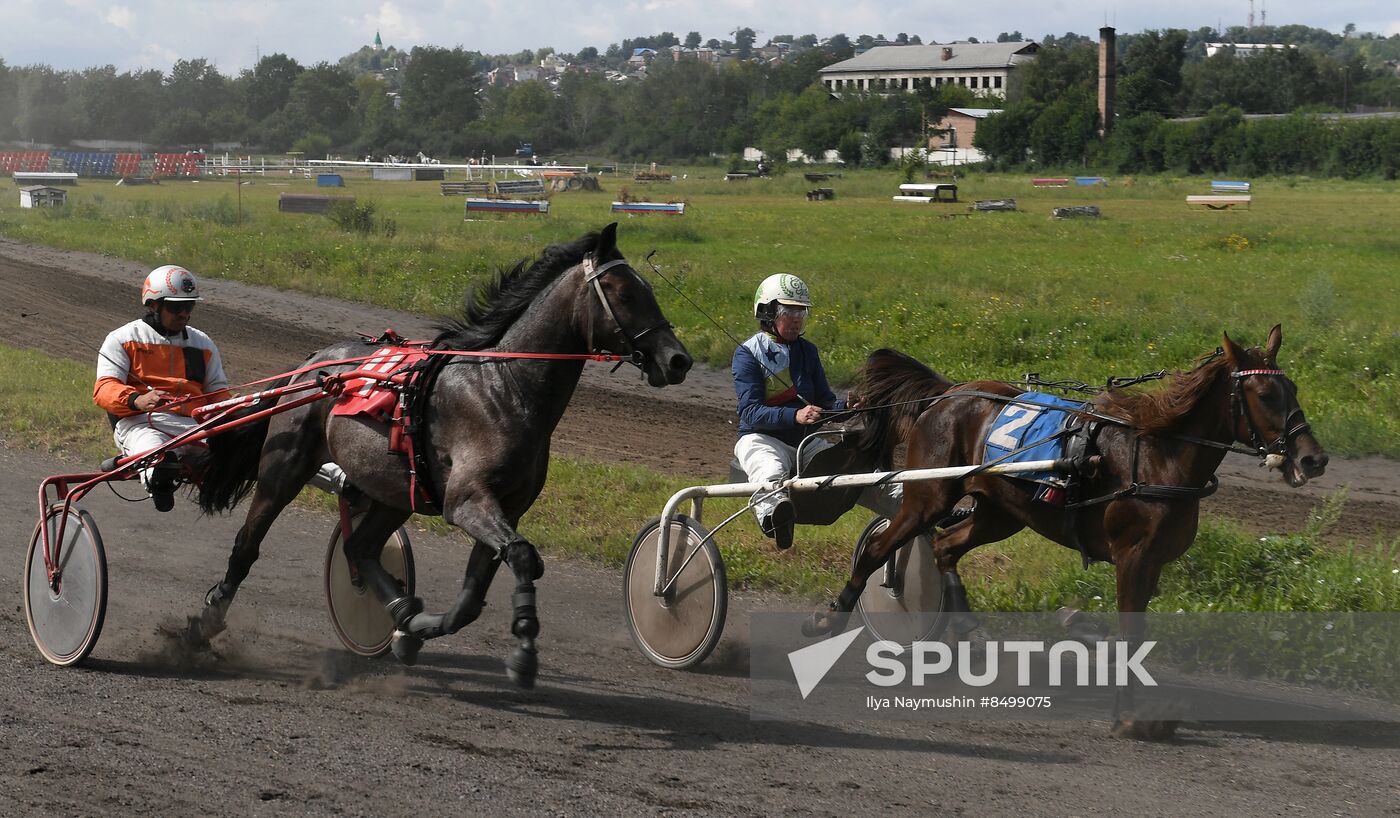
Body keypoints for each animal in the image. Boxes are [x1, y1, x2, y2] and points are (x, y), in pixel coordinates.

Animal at [194, 222, 697, 683]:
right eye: (624, 292)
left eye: (649, 289)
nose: (678, 360)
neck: (504, 388)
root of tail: (311, 364)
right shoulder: (467, 500)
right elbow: (523, 557)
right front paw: (524, 649)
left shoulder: (507, 506)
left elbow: (474, 596)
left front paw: (417, 628)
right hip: (285, 467)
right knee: (248, 543)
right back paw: (210, 617)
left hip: (394, 492)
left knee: (360, 546)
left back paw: (402, 612)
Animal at [812, 324, 1321, 733]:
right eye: (1265, 395)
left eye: (1294, 387)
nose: (1312, 458)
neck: (1158, 459)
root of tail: (949, 392)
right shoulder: (1132, 557)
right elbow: (1130, 636)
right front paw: (1128, 716)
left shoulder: (1152, 562)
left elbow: (1130, 635)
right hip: (930, 495)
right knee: (880, 548)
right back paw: (832, 615)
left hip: (1002, 511)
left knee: (946, 547)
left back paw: (967, 635)